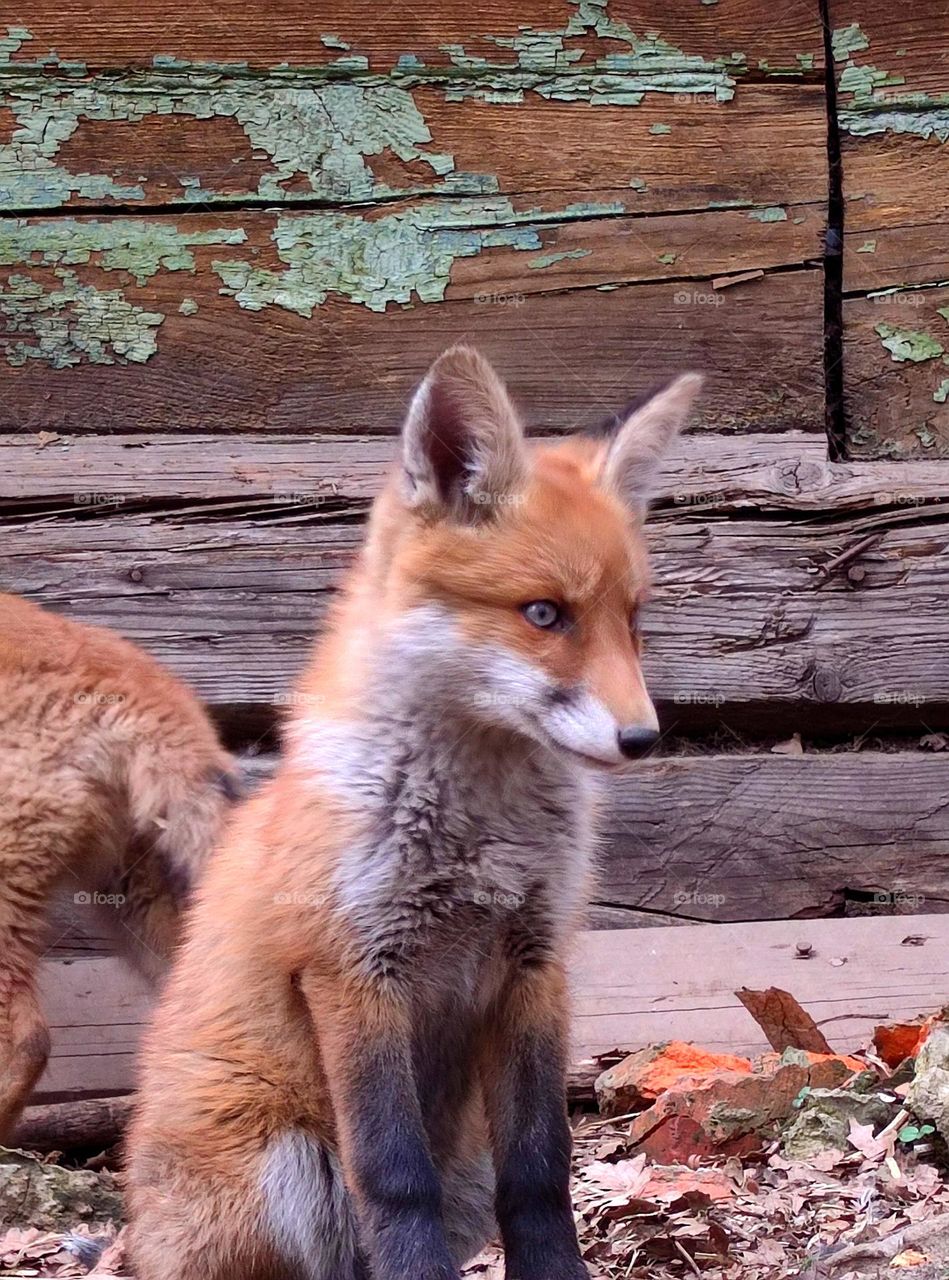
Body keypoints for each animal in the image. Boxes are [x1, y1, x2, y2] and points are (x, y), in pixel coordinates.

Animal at [126, 348, 701, 1280]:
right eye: (545, 613)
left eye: (632, 620)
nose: (642, 738)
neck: (477, 837)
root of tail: (137, 1236)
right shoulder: (351, 970)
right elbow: (393, 1177)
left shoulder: (534, 964)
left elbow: (541, 1171)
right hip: (287, 1168)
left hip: (463, 1175)